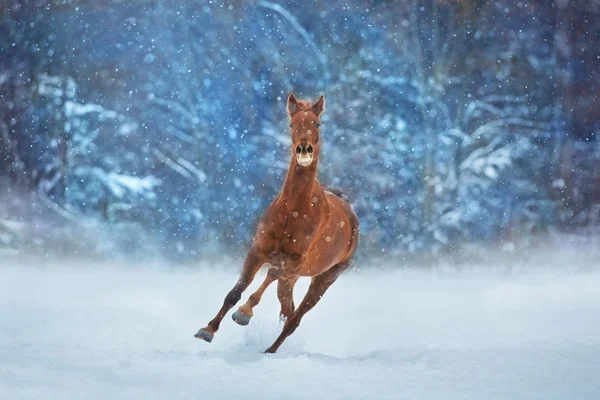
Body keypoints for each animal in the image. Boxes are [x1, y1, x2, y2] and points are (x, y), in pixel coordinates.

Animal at [195, 94, 358, 354]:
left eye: (317, 124)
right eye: (292, 124)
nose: (304, 150)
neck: (293, 212)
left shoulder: (291, 260)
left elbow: (266, 280)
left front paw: (244, 314)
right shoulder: (258, 251)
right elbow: (235, 292)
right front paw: (208, 330)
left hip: (324, 279)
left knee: (294, 319)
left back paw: (270, 351)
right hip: (291, 279)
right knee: (288, 310)